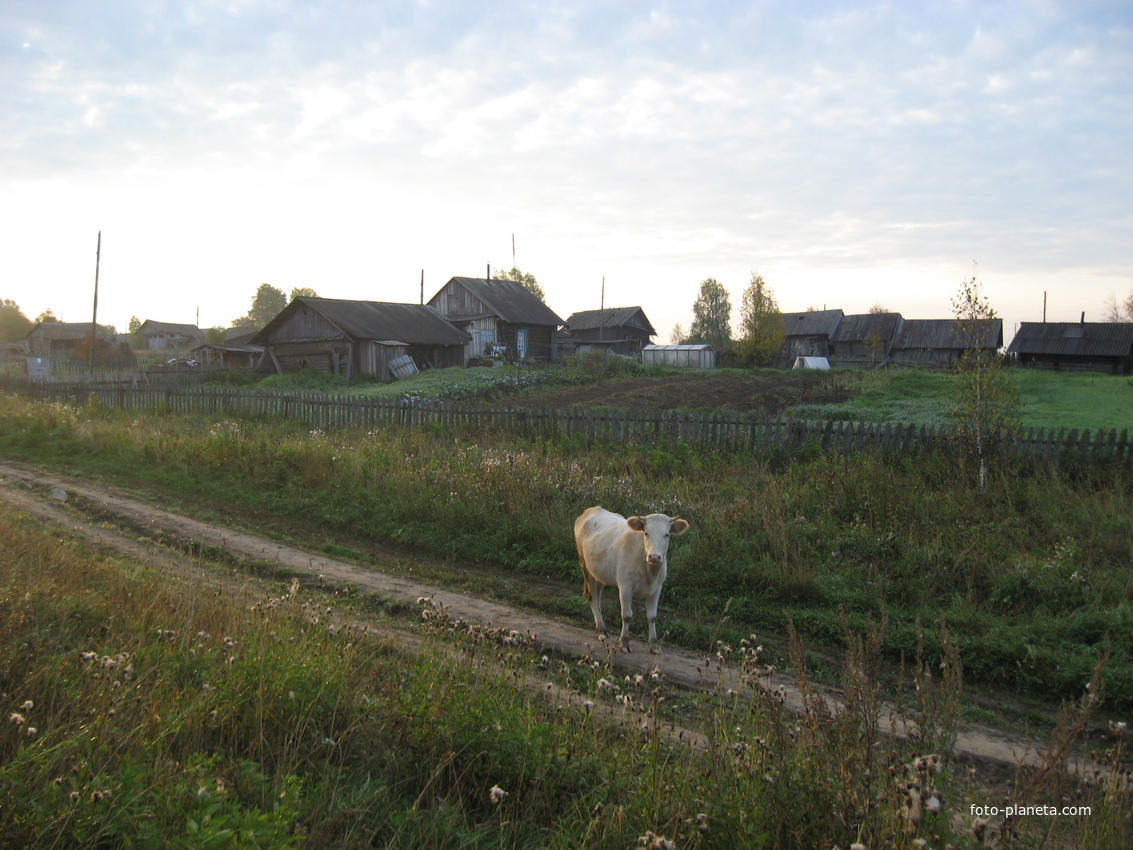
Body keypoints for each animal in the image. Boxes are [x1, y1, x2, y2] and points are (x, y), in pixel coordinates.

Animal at [575, 510, 688, 657]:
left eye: (667, 534)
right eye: (646, 533)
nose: (654, 557)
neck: (649, 572)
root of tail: (593, 509)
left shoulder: (656, 589)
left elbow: (652, 617)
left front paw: (654, 645)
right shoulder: (625, 587)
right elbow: (627, 616)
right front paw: (625, 643)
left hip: (599, 571)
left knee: (597, 594)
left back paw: (602, 626)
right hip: (585, 565)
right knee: (591, 595)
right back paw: (601, 628)